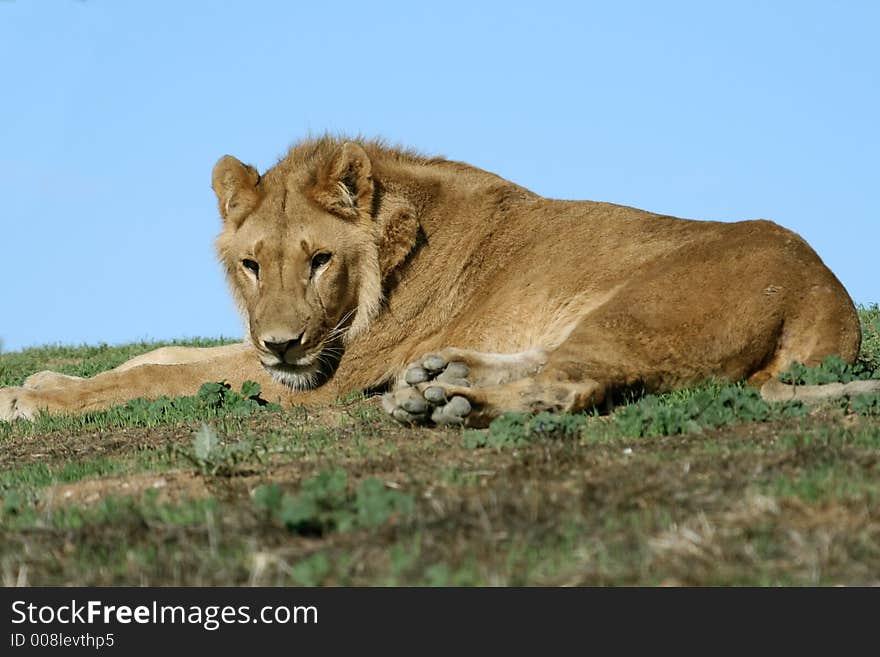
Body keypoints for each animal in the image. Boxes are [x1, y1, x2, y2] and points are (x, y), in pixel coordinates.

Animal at [3, 136, 876, 428]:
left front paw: (32, 399)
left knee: (567, 387)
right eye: (253, 263)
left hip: (647, 304)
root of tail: (829, 300)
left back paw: (439, 402)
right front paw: (36, 382)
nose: (281, 343)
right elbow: (163, 358)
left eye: (318, 260)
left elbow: (166, 377)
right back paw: (437, 376)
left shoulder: (318, 376)